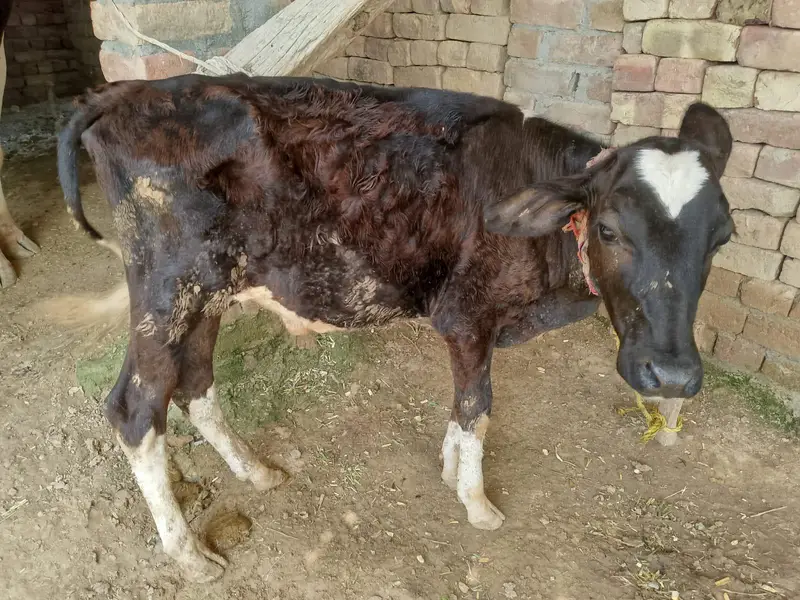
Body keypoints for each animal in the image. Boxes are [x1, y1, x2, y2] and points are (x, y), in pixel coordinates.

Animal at [53, 73, 733, 582]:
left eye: (722, 237)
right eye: (609, 229)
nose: (672, 375)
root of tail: (121, 93)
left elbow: (461, 410)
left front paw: (450, 468)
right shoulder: (468, 315)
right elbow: (477, 407)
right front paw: (477, 502)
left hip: (207, 292)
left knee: (195, 382)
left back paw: (256, 471)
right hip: (168, 289)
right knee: (134, 408)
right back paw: (188, 553)